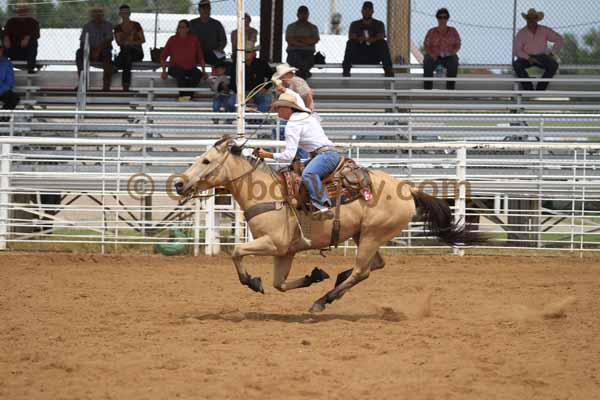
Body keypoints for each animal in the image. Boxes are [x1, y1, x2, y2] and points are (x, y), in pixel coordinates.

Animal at [173, 137, 482, 312]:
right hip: (363, 235)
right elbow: (278, 284)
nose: (178, 183)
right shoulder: (285, 251)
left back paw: (323, 300)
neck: (268, 193)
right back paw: (334, 282)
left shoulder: (274, 243)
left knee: (362, 270)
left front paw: (252, 282)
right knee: (373, 266)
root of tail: (409, 189)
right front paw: (315, 275)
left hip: (371, 235)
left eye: (206, 160)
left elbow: (237, 252)